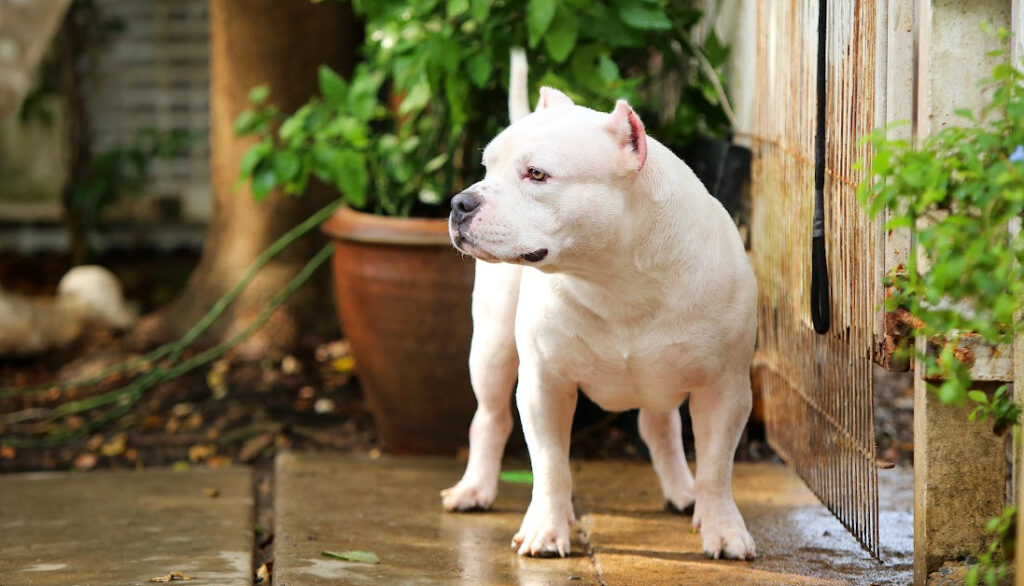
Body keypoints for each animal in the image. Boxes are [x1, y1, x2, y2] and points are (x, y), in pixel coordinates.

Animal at [444, 52, 757, 561]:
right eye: (487, 167)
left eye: (537, 174)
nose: (460, 202)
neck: (615, 277)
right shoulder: (545, 384)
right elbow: (551, 465)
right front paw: (546, 529)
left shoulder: (724, 389)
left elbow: (717, 468)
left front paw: (723, 529)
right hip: (490, 347)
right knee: (490, 418)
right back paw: (475, 489)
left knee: (659, 427)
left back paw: (683, 491)